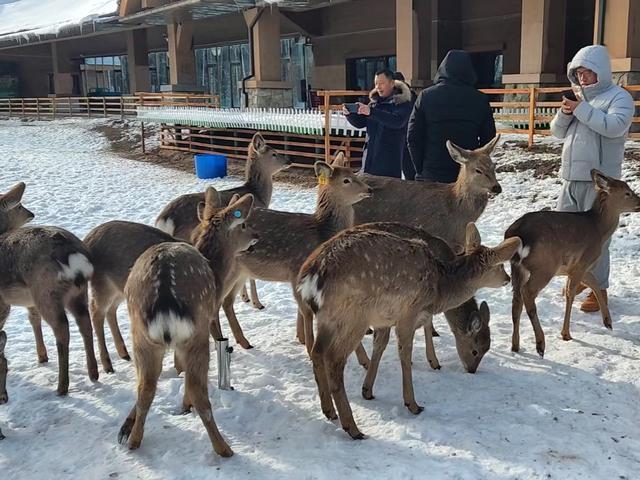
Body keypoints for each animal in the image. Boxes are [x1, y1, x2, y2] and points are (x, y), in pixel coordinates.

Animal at [116, 192, 256, 458]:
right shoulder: (207, 320)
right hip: (195, 335)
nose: (256, 238)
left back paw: (133, 441)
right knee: (198, 389)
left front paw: (125, 428)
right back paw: (224, 448)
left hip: (140, 335)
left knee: (145, 386)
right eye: (243, 224)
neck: (216, 271)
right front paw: (185, 405)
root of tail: (163, 299)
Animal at [296, 223, 520, 440]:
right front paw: (413, 404)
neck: (439, 289)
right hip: (353, 315)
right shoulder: (408, 314)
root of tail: (310, 278)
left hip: (329, 319)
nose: (508, 278)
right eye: (500, 265)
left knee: (317, 351)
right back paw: (353, 428)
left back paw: (329, 411)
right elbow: (405, 354)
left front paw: (367, 390)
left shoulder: (385, 319)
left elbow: (380, 345)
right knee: (334, 360)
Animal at [504, 171, 640, 358]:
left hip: (518, 267)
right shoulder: (583, 262)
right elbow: (571, 294)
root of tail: (516, 234)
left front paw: (608, 322)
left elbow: (593, 283)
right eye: (627, 193)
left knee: (516, 301)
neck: (599, 231)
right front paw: (566, 334)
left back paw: (515, 345)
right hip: (544, 266)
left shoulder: (576, 267)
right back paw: (540, 344)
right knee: (527, 293)